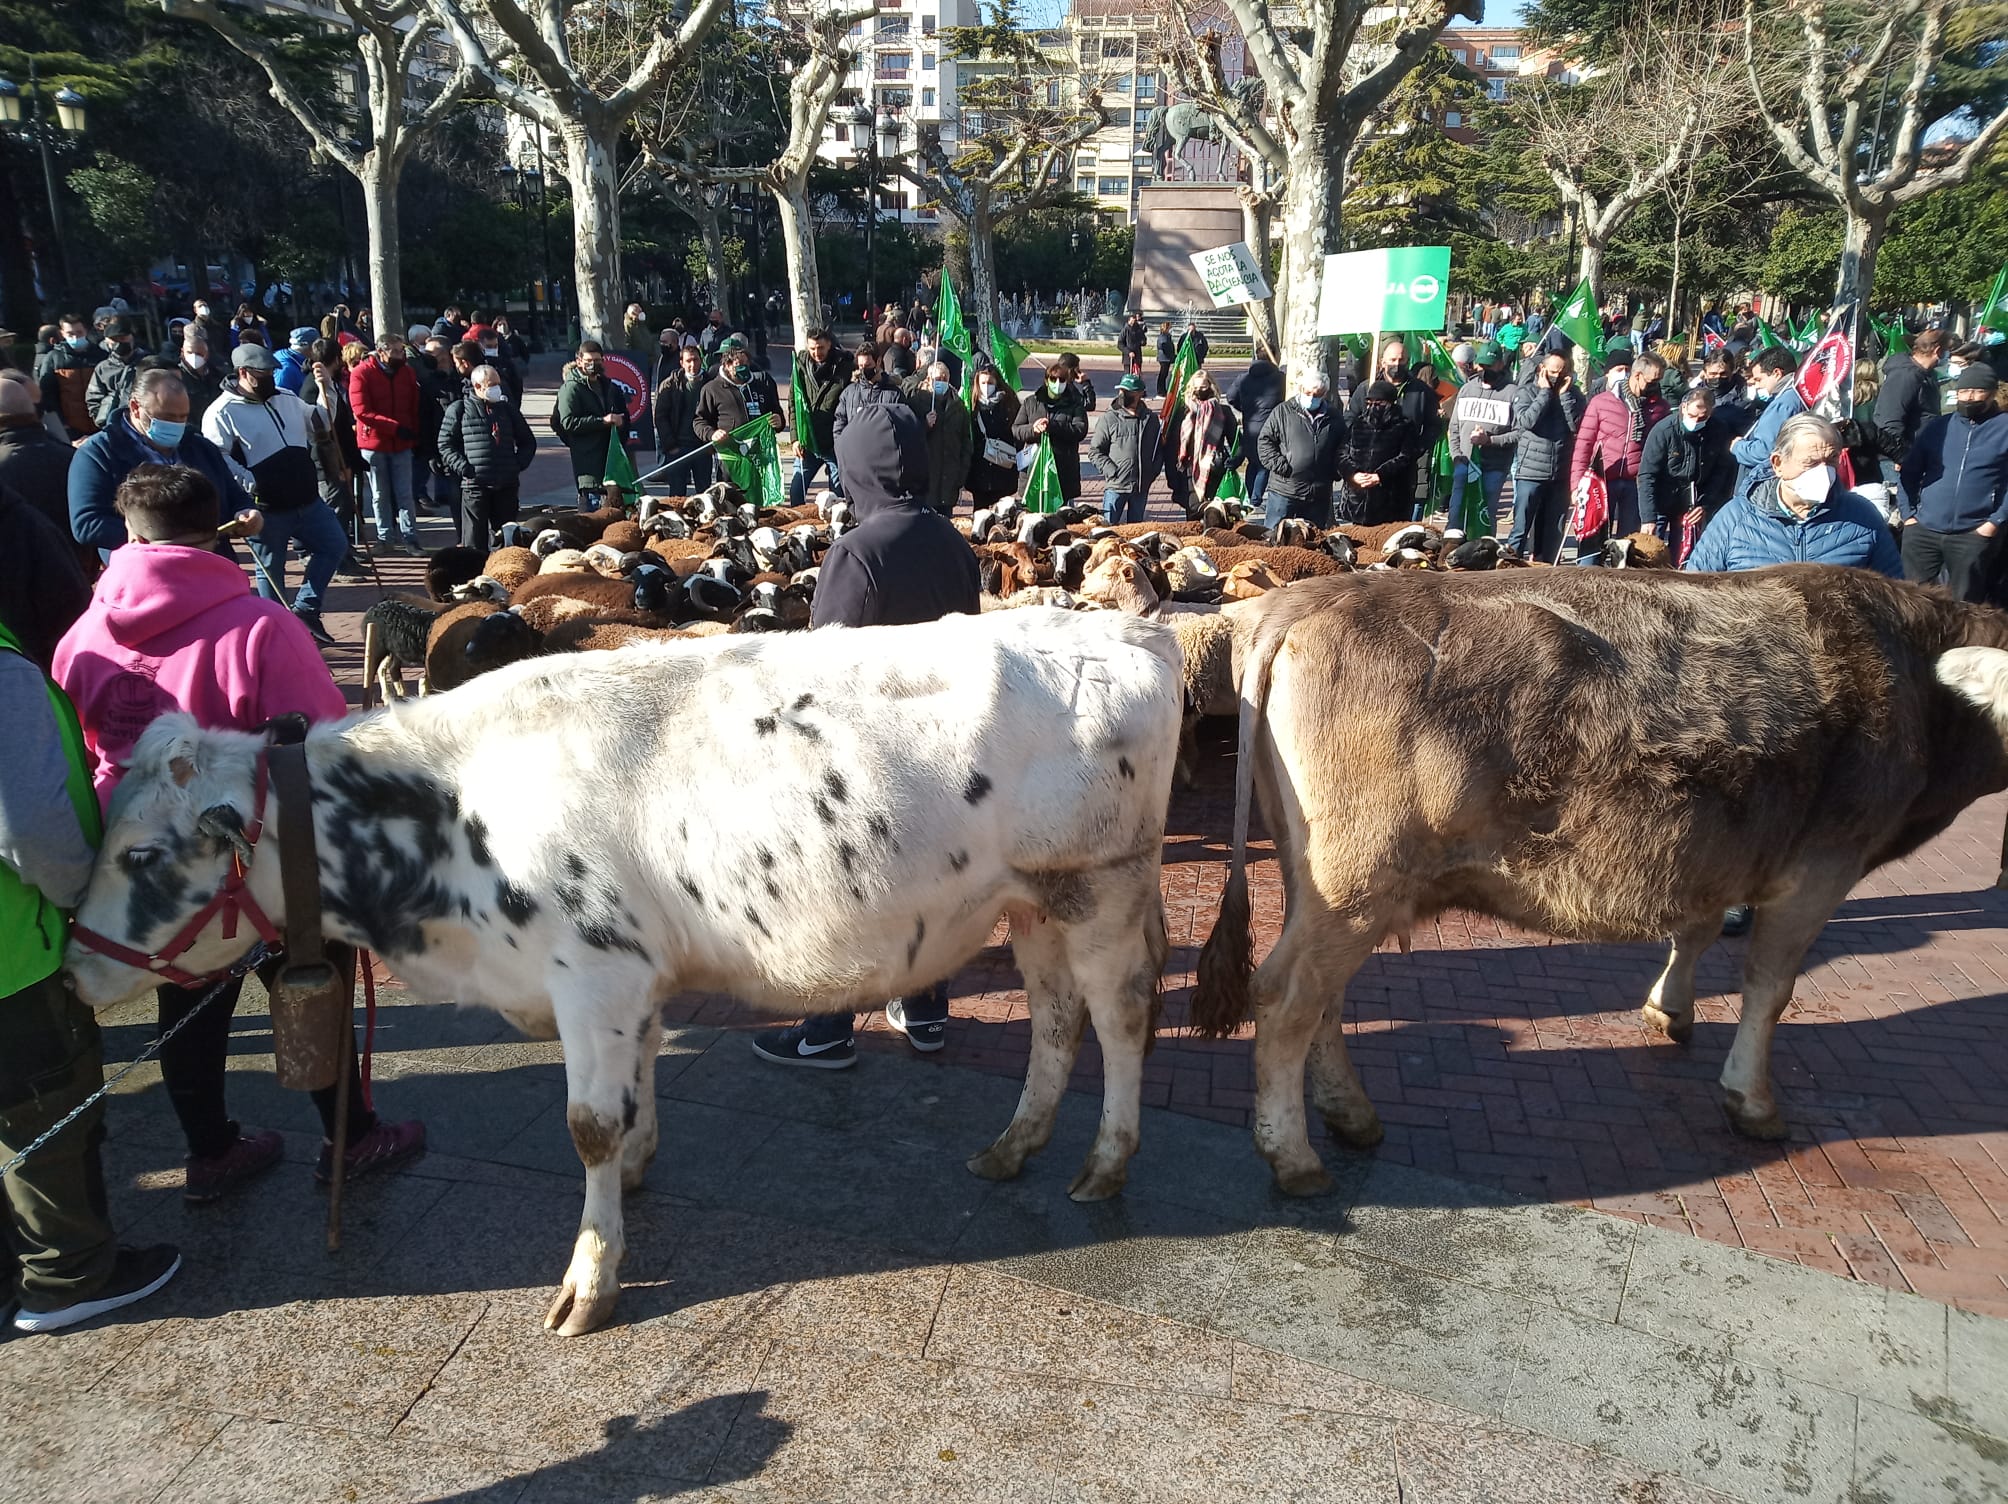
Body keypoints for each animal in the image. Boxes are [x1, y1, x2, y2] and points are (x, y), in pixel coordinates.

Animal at [66, 602, 1188, 1333]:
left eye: (141, 855)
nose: (73, 967)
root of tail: (1128, 626)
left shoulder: (591, 973)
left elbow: (588, 1125)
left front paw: (590, 1275)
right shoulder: (628, 975)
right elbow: (639, 1084)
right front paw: (641, 1168)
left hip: (1101, 887)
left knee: (1121, 1016)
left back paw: (1105, 1160)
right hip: (1031, 901)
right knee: (1054, 1016)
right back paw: (1016, 1142)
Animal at [1188, 562, 2008, 1196]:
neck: (1919, 681)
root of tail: (1309, 599)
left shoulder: (1710, 851)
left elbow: (1697, 928)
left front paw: (1670, 1009)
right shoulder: (1820, 868)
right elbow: (1771, 989)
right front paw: (1752, 1100)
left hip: (1328, 881)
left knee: (1325, 999)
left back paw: (1351, 1115)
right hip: (1356, 880)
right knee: (1288, 996)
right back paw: (1294, 1157)